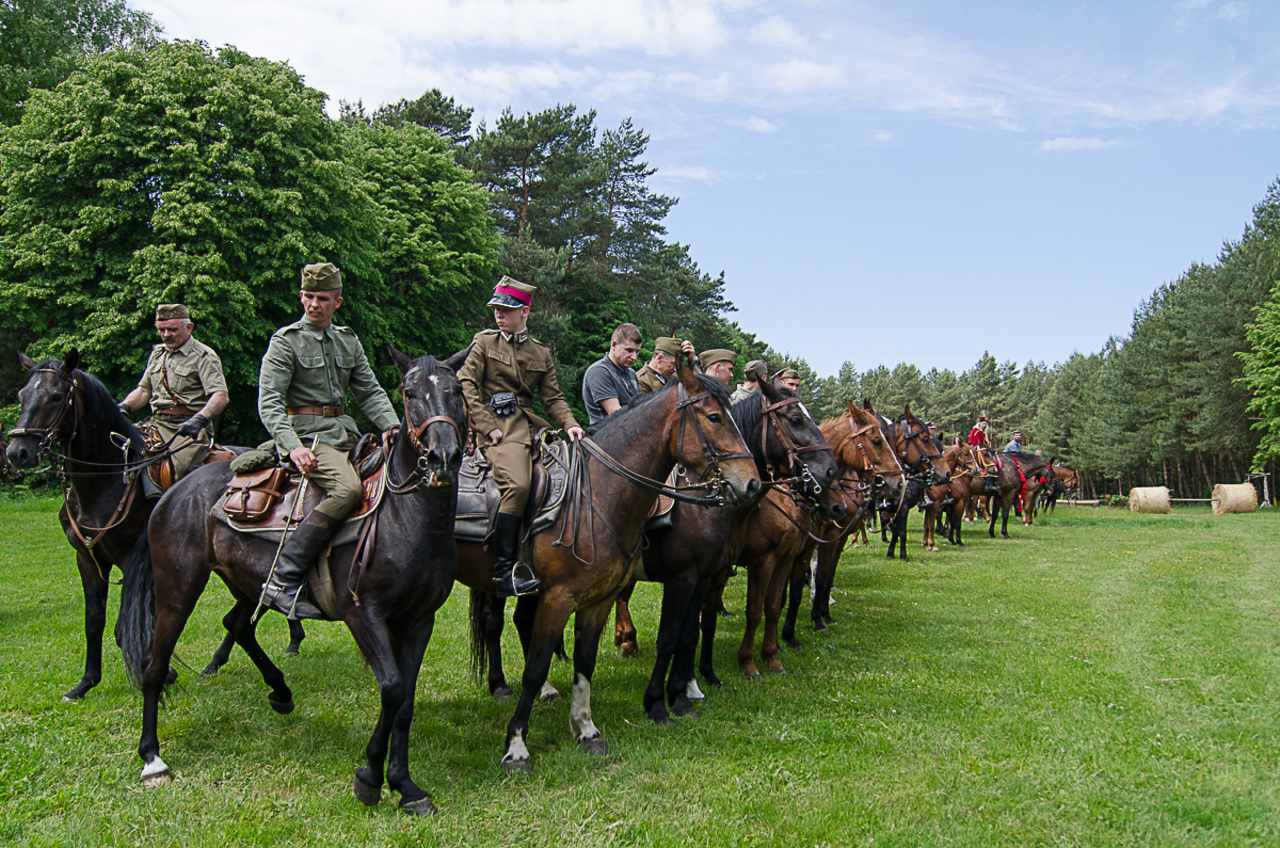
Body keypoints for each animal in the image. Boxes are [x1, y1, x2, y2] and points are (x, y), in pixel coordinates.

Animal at [117, 350, 468, 819]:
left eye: (457, 390)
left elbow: (405, 701)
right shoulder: (363, 614)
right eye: (410, 393)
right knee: (154, 665)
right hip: (177, 589)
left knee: (238, 626)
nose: (443, 456)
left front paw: (405, 784)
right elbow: (392, 689)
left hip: (247, 584)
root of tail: (175, 492)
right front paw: (370, 777)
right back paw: (152, 757)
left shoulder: (417, 620)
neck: (403, 516)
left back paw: (280, 690)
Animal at [460, 361, 757, 773]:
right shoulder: (564, 598)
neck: (599, 492)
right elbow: (536, 667)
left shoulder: (606, 598)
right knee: (494, 624)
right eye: (714, 417)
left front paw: (588, 729)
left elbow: (590, 661)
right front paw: (517, 746)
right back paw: (501, 686)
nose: (752, 484)